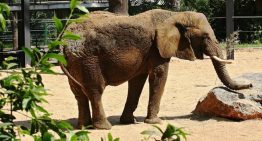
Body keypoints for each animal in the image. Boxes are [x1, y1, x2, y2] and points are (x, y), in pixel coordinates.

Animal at [61, 9, 252, 129]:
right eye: (205, 36)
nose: (250, 85)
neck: (174, 15)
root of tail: (63, 42)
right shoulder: (157, 48)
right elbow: (159, 75)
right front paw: (155, 123)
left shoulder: (147, 52)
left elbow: (137, 82)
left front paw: (129, 122)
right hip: (88, 58)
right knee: (95, 90)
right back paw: (104, 128)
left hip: (75, 61)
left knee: (78, 93)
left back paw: (84, 126)